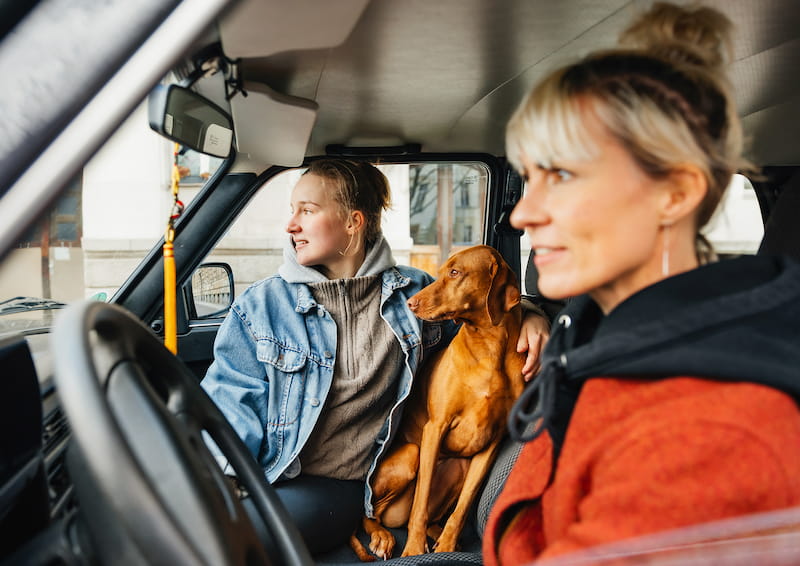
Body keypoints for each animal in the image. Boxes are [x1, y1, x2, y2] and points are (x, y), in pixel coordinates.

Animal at [350, 246, 524, 560]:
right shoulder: (435, 428)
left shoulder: (491, 443)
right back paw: (382, 536)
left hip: (459, 468)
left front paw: (448, 544)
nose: (410, 303)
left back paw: (436, 532)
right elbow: (420, 503)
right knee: (373, 512)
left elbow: (463, 507)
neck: (489, 347)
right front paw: (413, 548)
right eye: (442, 271)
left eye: (455, 272)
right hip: (411, 454)